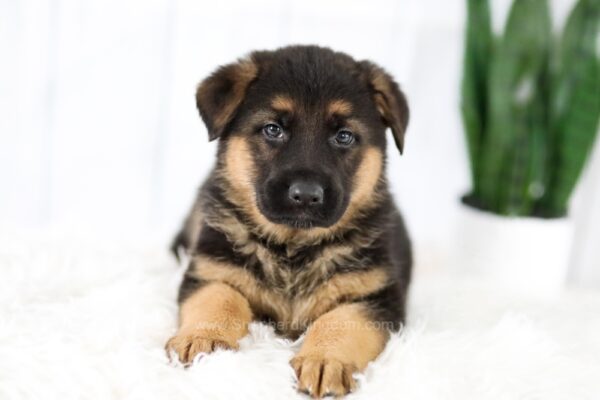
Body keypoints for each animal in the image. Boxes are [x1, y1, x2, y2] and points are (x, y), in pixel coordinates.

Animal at [169, 44, 412, 396]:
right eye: (273, 129)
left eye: (344, 136)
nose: (307, 195)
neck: (294, 248)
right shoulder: (211, 271)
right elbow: (220, 299)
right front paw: (203, 338)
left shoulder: (375, 298)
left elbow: (342, 322)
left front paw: (324, 360)